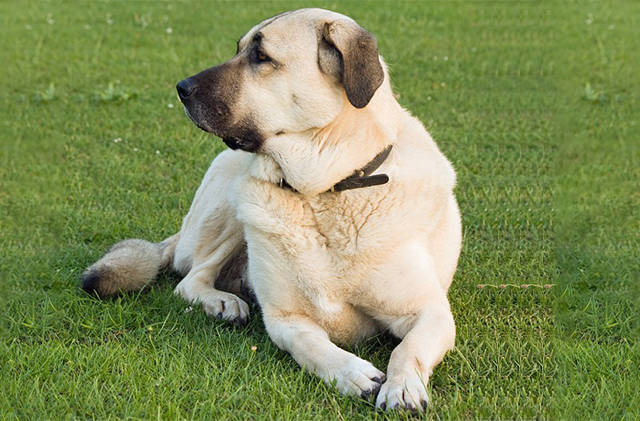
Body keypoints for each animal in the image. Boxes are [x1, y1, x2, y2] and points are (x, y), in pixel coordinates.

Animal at [82, 9, 462, 410]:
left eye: (261, 57)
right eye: (239, 49)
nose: (181, 88)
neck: (323, 192)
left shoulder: (430, 312)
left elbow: (408, 349)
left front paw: (402, 386)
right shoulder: (285, 319)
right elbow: (312, 346)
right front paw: (353, 373)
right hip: (231, 207)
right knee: (191, 278)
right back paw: (222, 303)